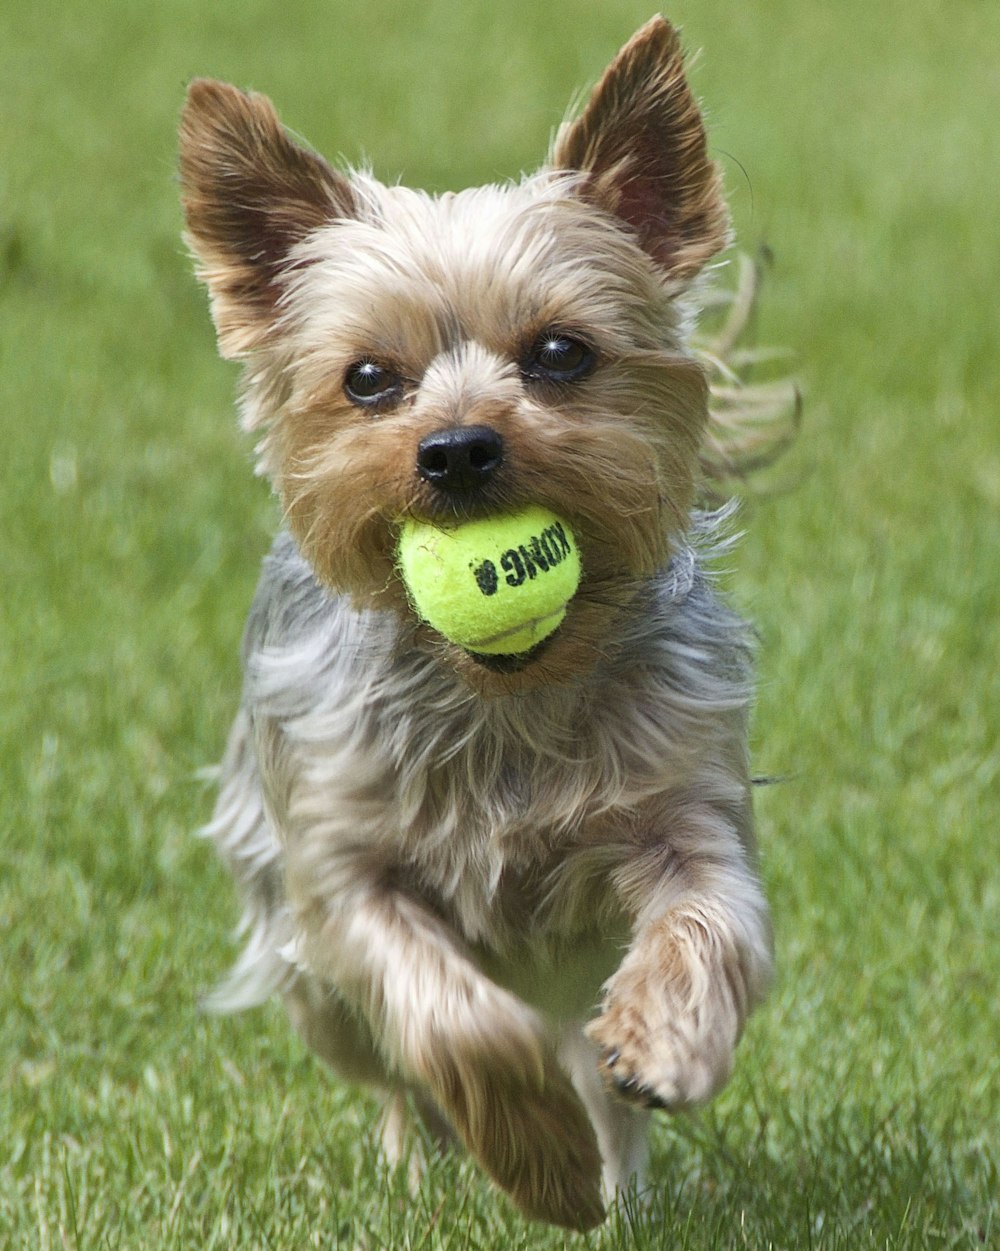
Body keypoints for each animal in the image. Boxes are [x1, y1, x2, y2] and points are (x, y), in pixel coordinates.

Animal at [180, 17, 775, 1230]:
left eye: (560, 353)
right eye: (368, 378)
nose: (456, 448)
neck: (506, 693)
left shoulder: (683, 802)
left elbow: (708, 920)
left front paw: (663, 1044)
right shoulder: (341, 864)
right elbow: (451, 1021)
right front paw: (535, 1158)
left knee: (592, 1072)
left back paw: (619, 1182)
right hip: (301, 963)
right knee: (390, 1070)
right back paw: (433, 1162)